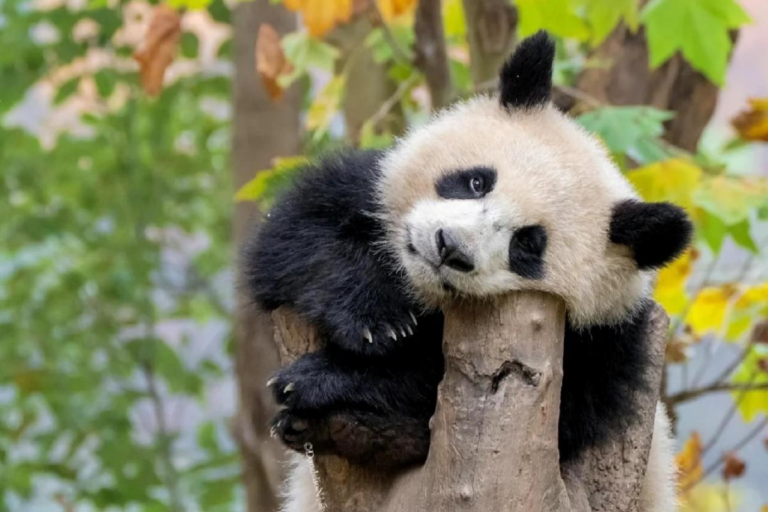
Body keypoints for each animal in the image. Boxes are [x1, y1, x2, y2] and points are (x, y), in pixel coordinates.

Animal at [243, 32, 691, 512]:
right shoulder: (365, 188)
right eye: (477, 181)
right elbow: (294, 239)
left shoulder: (604, 351)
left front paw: (322, 378)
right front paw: (376, 321)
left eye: (527, 244)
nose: (449, 247)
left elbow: (433, 381)